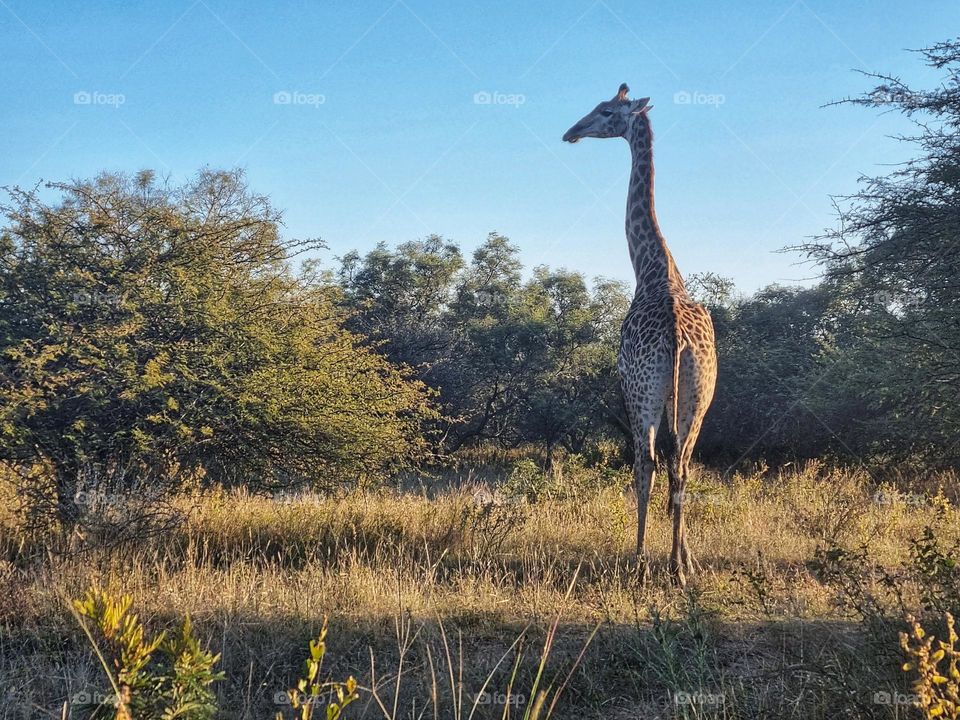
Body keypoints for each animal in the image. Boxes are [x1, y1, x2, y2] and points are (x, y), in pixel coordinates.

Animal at [564, 83, 720, 584]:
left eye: (604, 110)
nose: (571, 132)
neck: (655, 270)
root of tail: (678, 339)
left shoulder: (628, 386)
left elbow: (642, 467)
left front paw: (644, 558)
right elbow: (679, 468)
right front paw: (687, 558)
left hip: (644, 393)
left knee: (646, 462)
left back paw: (640, 560)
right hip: (698, 396)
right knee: (683, 464)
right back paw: (679, 566)